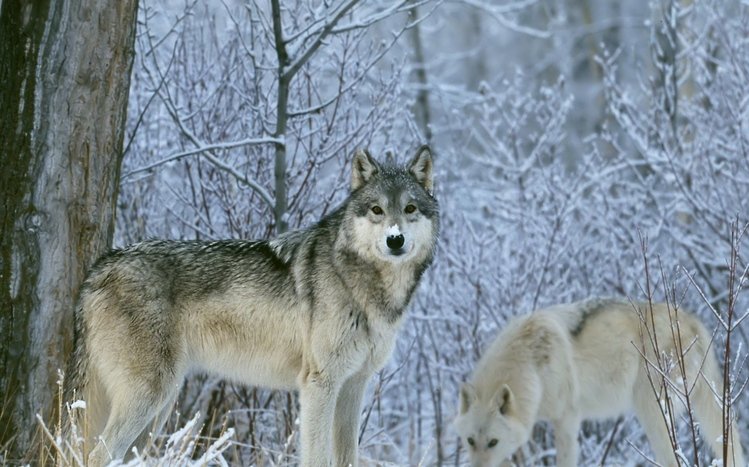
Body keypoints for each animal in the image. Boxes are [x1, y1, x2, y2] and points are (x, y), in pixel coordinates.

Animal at [65, 146, 439, 467]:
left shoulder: (353, 386)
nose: (395, 240)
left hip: (158, 411)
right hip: (149, 398)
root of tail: (100, 266)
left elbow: (348, 457)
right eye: (377, 210)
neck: (362, 283)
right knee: (95, 454)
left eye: (410, 209)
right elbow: (317, 457)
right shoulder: (320, 384)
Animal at [454, 298, 746, 467]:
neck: (531, 364)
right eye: (470, 441)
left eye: (492, 442)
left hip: (651, 412)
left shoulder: (566, 420)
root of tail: (693, 321)